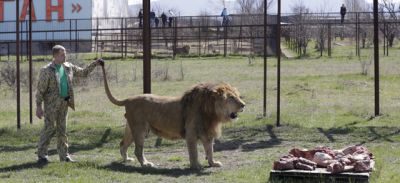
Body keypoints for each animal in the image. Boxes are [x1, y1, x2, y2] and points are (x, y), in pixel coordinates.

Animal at [100, 63, 244, 169]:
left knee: (122, 144)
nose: (244, 105)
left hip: (131, 129)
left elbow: (210, 150)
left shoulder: (207, 133)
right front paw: (196, 166)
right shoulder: (191, 133)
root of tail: (128, 99)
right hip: (140, 129)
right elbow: (194, 152)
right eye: (231, 97)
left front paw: (213, 163)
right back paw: (146, 164)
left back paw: (127, 159)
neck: (211, 112)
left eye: (237, 96)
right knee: (138, 150)